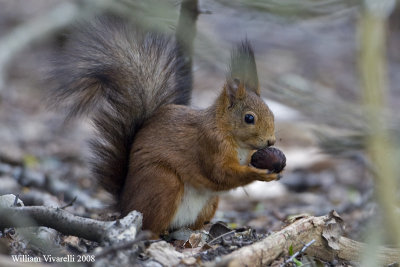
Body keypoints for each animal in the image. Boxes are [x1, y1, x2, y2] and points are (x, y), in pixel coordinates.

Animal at [50, 16, 280, 236]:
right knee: (150, 226)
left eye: (271, 111)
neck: (228, 132)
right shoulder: (210, 145)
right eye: (249, 118)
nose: (271, 141)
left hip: (209, 202)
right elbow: (220, 173)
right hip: (163, 184)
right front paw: (259, 174)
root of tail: (125, 204)